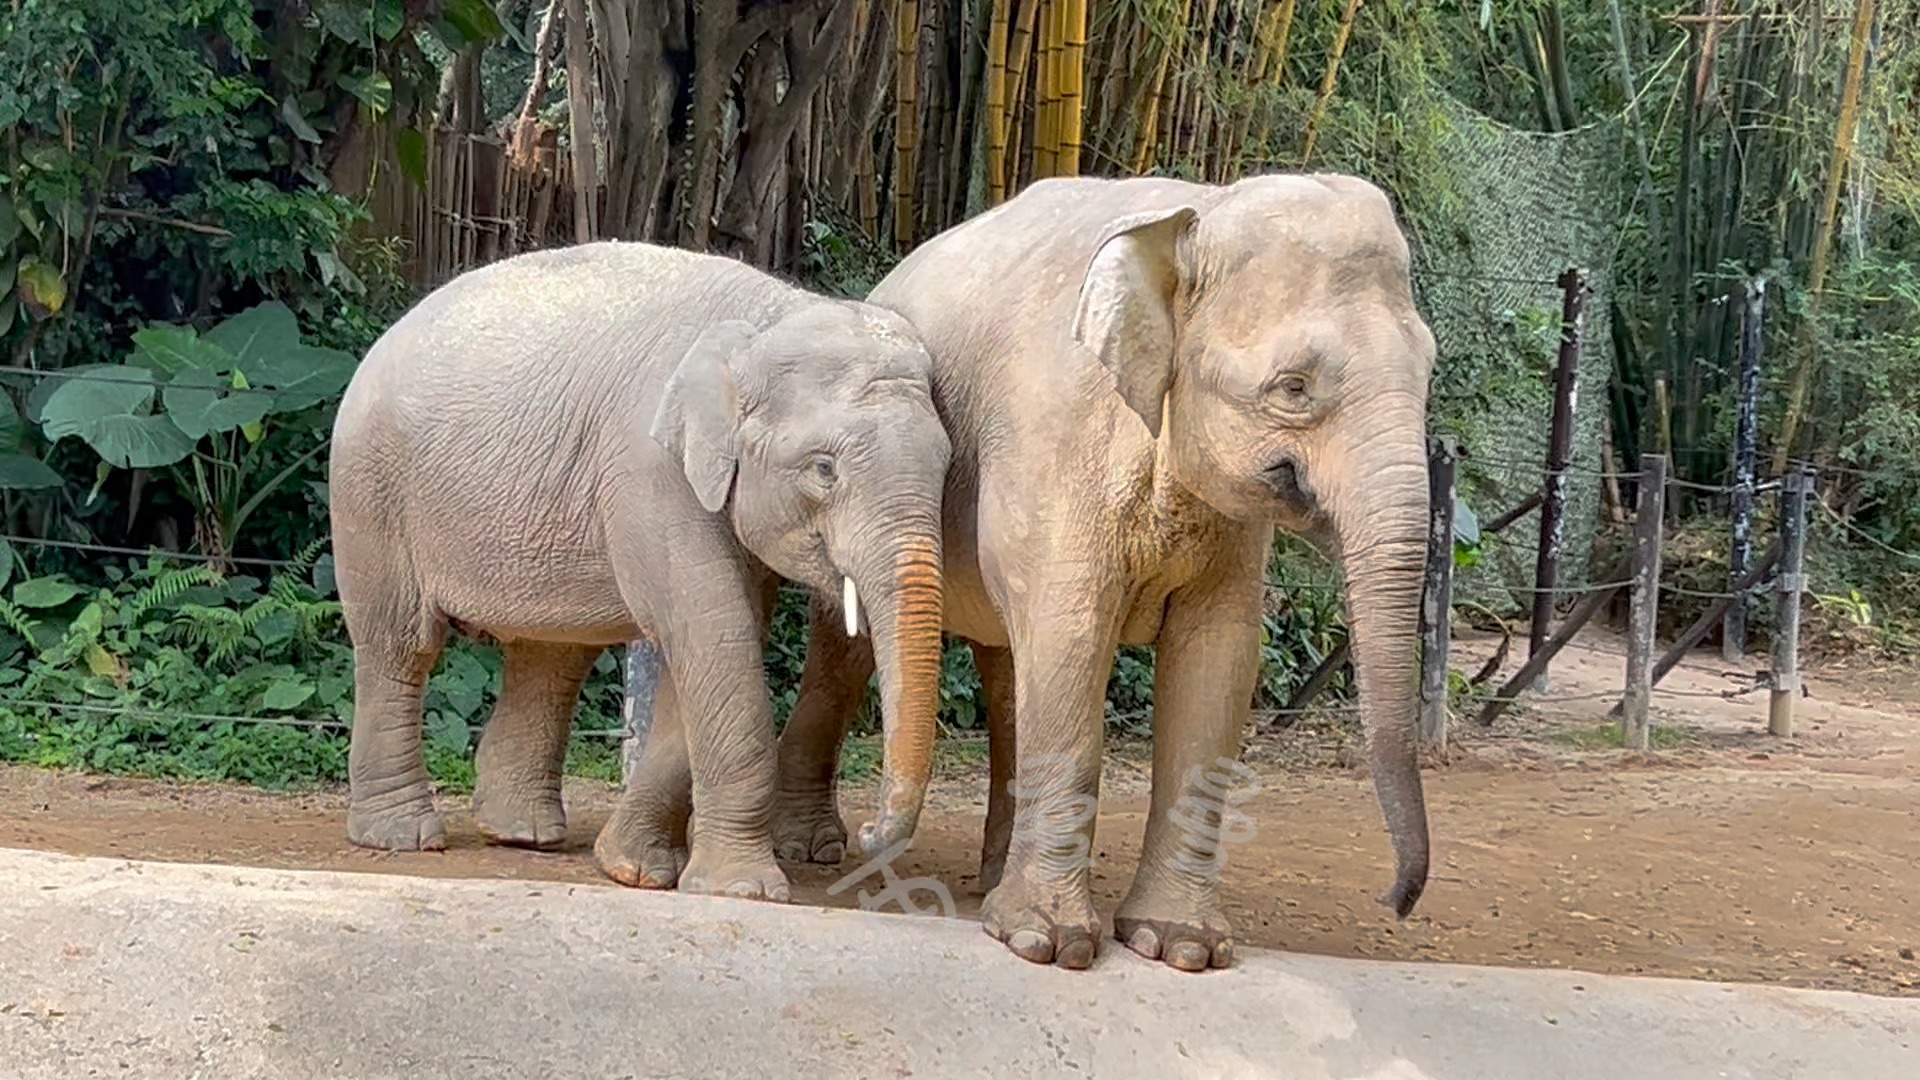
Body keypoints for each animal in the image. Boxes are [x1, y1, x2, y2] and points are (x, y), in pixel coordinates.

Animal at [337, 237, 960, 899]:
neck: (767, 317)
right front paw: (741, 890)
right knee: (401, 646)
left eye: (949, 465)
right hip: (369, 491)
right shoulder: (649, 471)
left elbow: (715, 638)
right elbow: (715, 633)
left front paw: (632, 869)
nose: (866, 835)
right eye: (824, 468)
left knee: (551, 654)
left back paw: (523, 834)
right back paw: (402, 836)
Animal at [756, 170, 1436, 968]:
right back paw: (816, 851)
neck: (1196, 214)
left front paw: (1179, 947)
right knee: (850, 648)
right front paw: (1045, 944)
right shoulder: (1058, 446)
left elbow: (1219, 660)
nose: (1397, 903)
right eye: (1293, 387)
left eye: (1428, 371)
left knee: (1009, 666)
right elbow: (1073, 639)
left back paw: (992, 875)